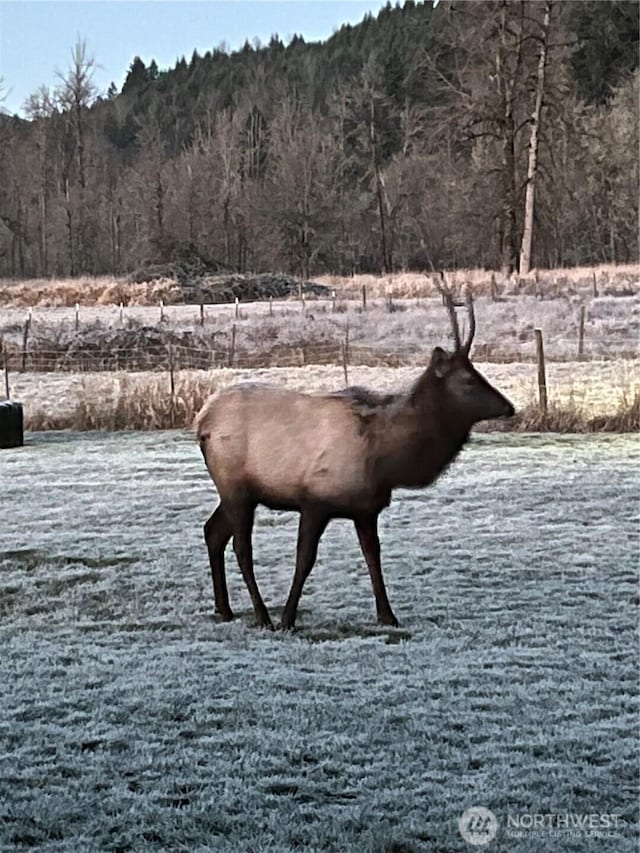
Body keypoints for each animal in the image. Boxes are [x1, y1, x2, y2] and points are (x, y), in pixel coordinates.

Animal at [195, 276, 516, 628]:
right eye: (469, 380)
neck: (386, 460)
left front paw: (388, 615)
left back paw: (224, 608)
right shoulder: (315, 500)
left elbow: (373, 556)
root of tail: (202, 422)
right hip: (235, 486)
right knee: (241, 547)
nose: (509, 407)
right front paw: (288, 619)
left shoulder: (365, 509)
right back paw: (262, 615)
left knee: (212, 531)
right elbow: (304, 560)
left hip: (240, 492)